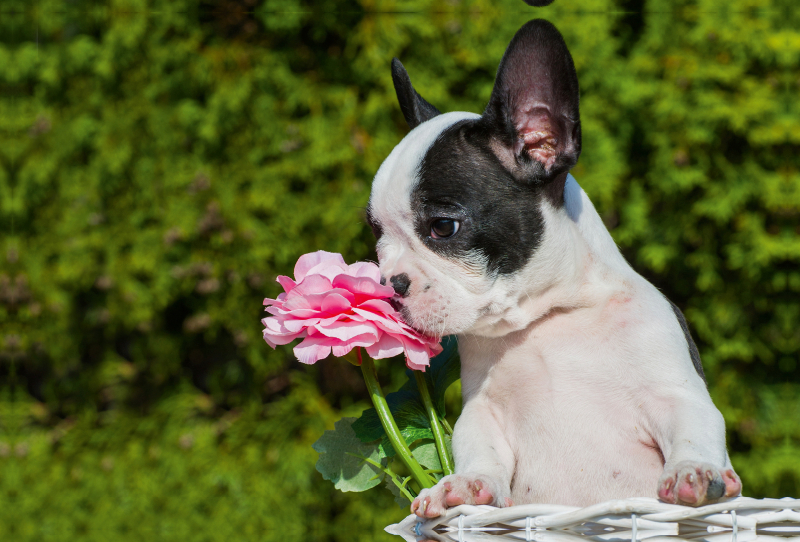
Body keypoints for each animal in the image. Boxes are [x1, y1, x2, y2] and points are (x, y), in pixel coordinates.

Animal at [366, 19, 740, 516]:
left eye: (443, 227)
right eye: (375, 234)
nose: (389, 284)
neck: (547, 318)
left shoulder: (677, 392)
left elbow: (695, 427)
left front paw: (693, 472)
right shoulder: (482, 413)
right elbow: (478, 449)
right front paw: (462, 484)